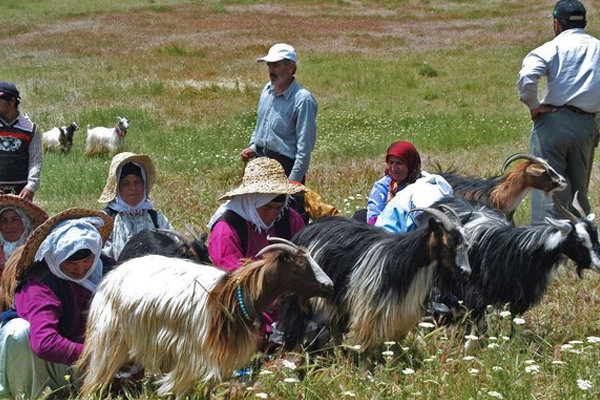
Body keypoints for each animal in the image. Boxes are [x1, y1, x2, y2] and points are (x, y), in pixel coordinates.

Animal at [76, 241, 332, 400]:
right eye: (301, 265)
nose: (329, 285)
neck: (233, 296)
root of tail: (109, 278)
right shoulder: (194, 355)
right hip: (109, 339)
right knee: (93, 381)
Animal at [278, 208, 472, 358]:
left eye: (466, 245)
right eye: (449, 245)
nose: (466, 272)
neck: (403, 262)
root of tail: (304, 231)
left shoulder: (401, 312)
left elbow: (396, 344)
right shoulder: (371, 310)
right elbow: (368, 345)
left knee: (334, 325)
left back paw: (341, 354)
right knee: (296, 321)